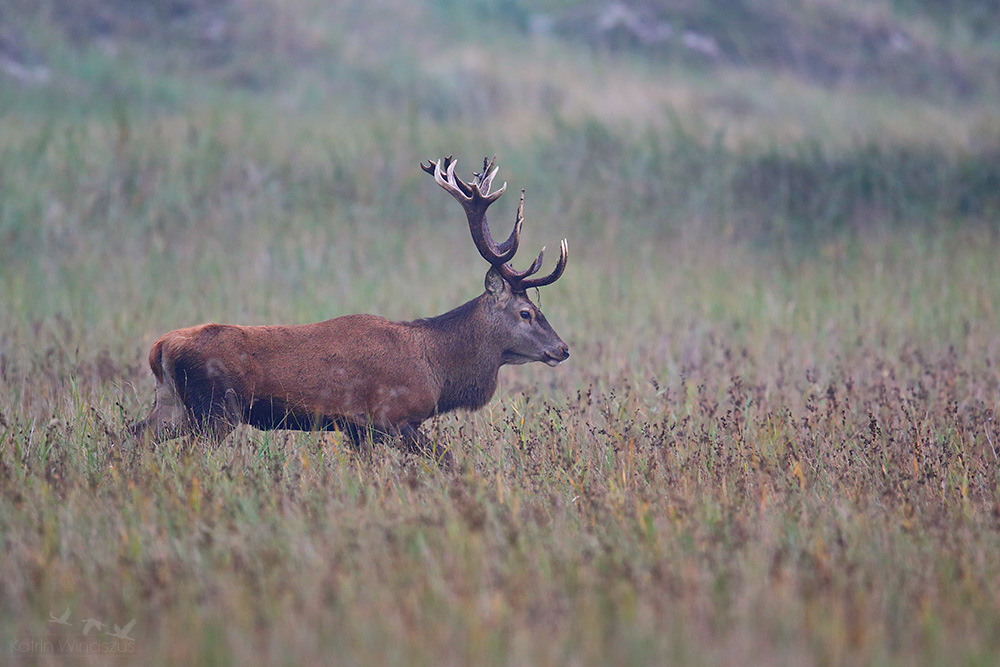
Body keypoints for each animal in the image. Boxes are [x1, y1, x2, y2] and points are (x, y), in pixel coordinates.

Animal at [133, 157, 572, 464]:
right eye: (526, 312)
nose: (562, 348)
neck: (436, 365)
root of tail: (159, 348)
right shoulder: (390, 418)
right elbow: (447, 461)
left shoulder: (356, 430)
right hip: (214, 409)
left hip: (172, 405)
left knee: (132, 434)